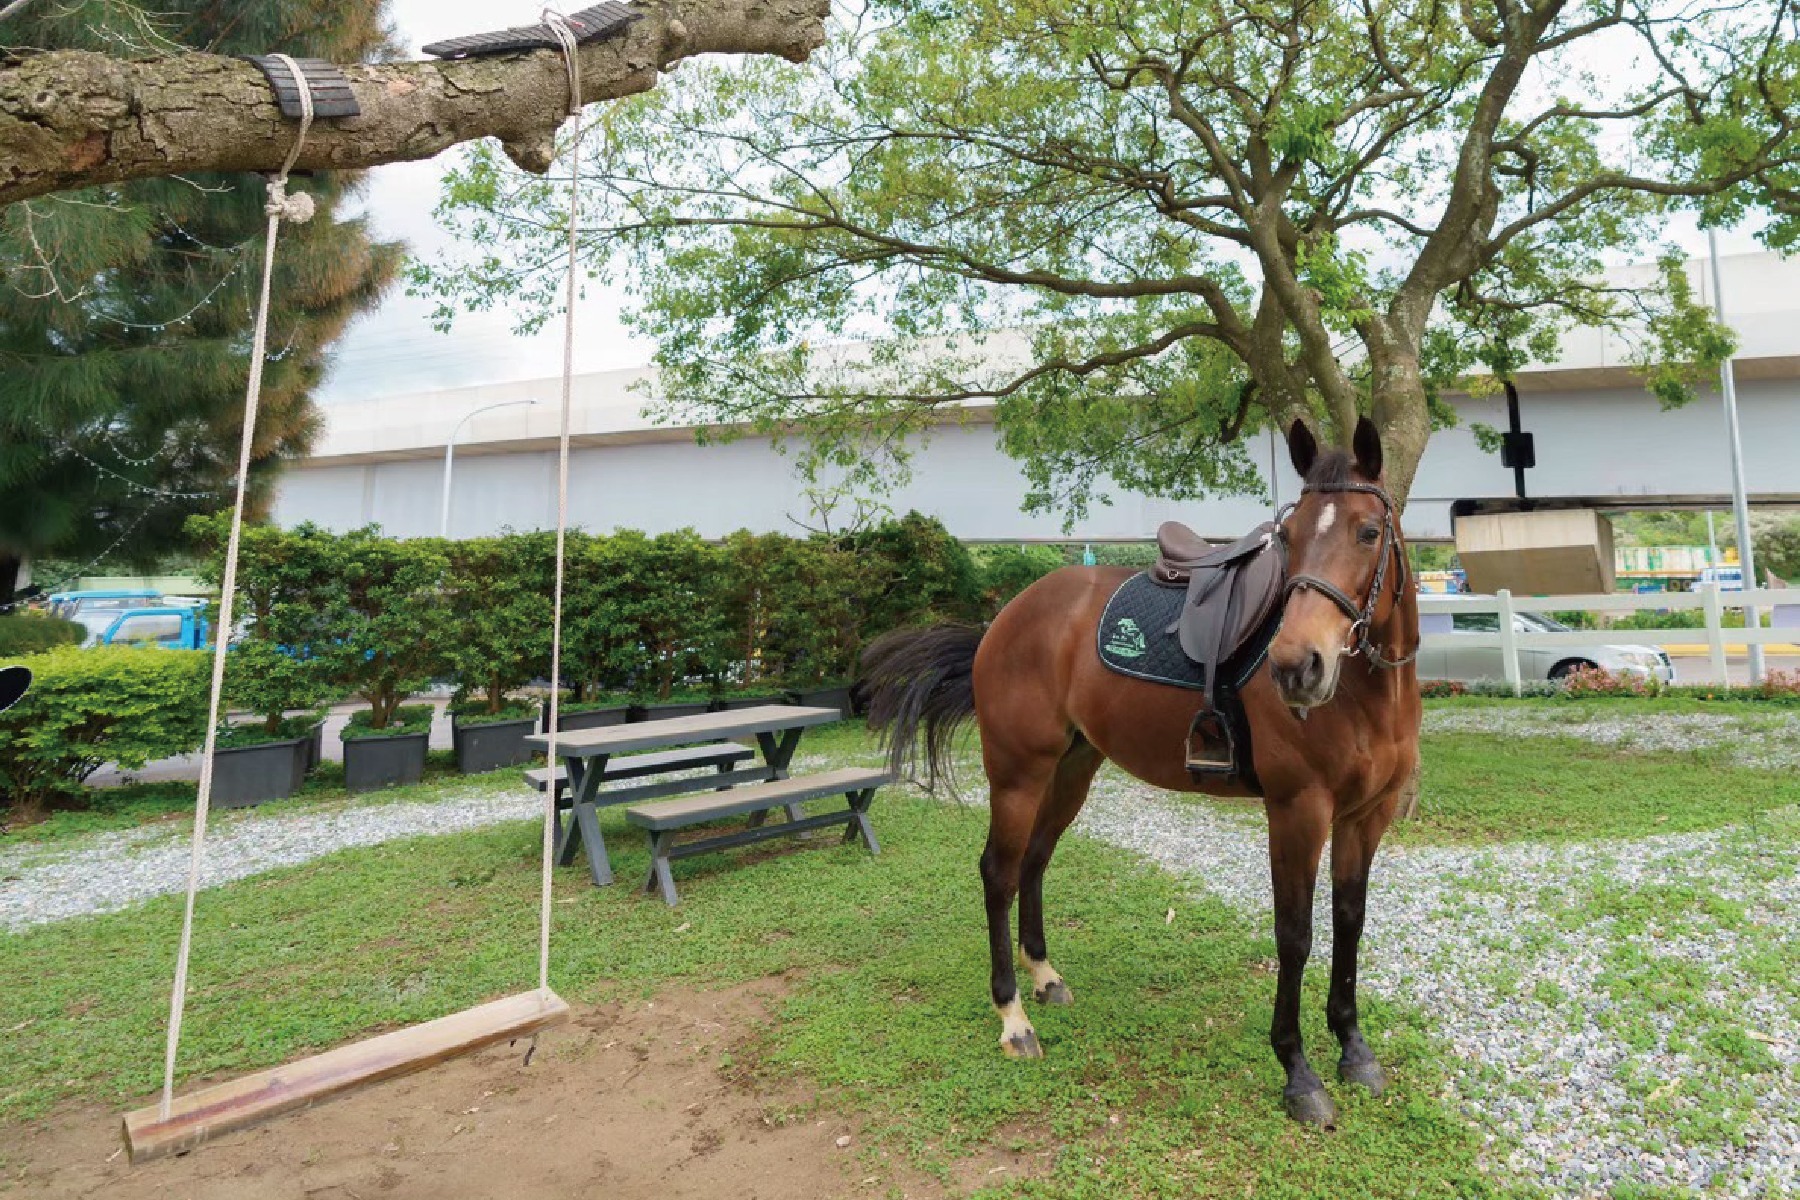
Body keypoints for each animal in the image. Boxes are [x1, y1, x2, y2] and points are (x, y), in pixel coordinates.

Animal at [860, 415, 1418, 1129]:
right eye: (1288, 538)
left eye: (1368, 532)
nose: (1297, 667)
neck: (1368, 694)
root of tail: (1006, 616)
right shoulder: (1299, 810)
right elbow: (1294, 935)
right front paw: (1298, 1074)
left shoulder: (1366, 816)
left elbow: (1350, 922)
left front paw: (1353, 1048)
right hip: (1017, 776)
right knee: (998, 873)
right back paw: (1013, 1017)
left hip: (1072, 770)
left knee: (1035, 861)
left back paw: (1045, 977)